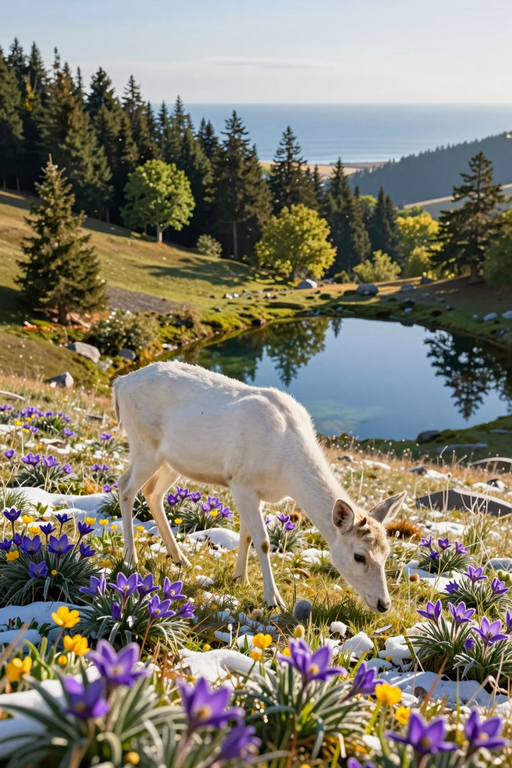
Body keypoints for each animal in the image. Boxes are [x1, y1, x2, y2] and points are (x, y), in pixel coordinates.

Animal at [113, 360, 406, 612]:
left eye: (387, 553)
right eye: (359, 556)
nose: (384, 604)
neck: (285, 471)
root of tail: (120, 383)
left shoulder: (257, 491)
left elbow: (246, 535)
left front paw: (239, 578)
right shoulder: (240, 481)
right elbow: (263, 542)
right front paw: (273, 600)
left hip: (171, 460)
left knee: (152, 492)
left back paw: (179, 558)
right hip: (144, 444)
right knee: (125, 486)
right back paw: (130, 559)